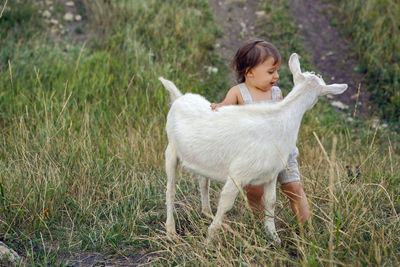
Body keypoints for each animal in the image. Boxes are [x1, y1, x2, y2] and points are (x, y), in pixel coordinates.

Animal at [159, 53, 346, 244]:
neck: (279, 120)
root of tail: (179, 98)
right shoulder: (237, 174)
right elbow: (226, 204)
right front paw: (209, 239)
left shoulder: (272, 173)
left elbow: (271, 201)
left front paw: (273, 236)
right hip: (171, 150)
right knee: (170, 191)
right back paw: (171, 231)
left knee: (203, 183)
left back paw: (207, 213)